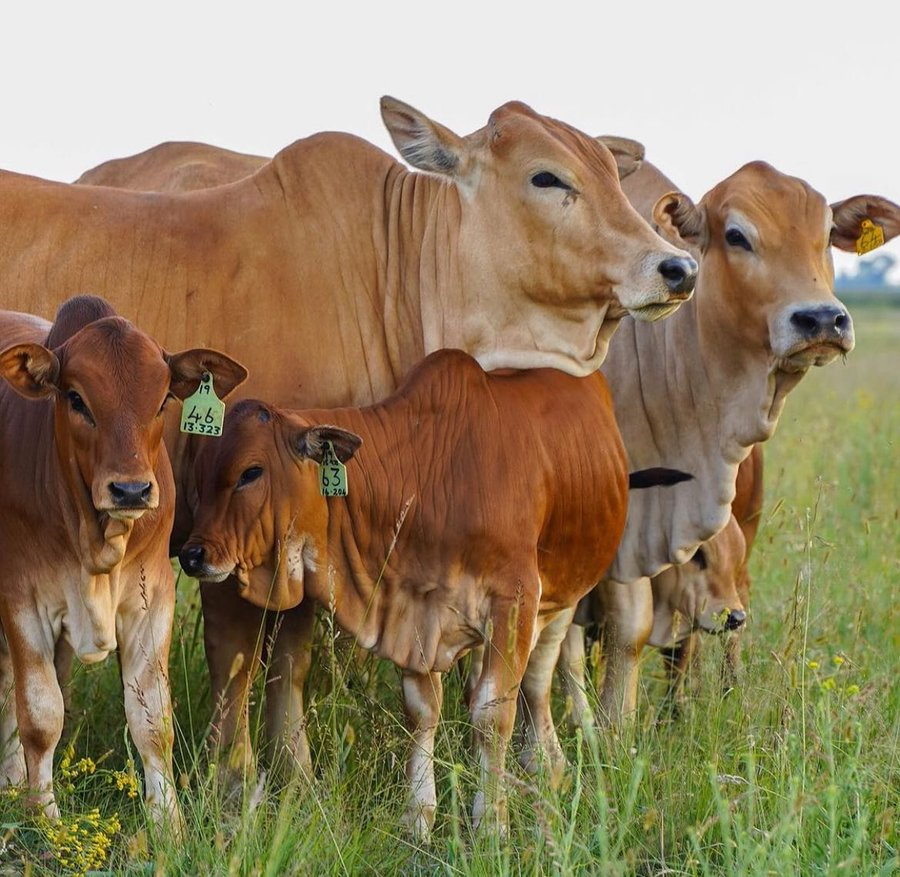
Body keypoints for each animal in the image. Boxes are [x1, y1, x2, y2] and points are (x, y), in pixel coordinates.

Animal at [0, 295, 246, 828]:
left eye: (163, 400)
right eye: (76, 399)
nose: (131, 490)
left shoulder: (152, 599)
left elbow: (152, 719)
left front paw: (168, 824)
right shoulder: (21, 598)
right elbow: (42, 714)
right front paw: (44, 816)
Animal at [176, 348, 688, 836]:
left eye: (251, 472)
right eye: (198, 475)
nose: (192, 554)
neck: (428, 476)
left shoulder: (515, 598)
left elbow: (492, 713)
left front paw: (492, 822)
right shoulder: (412, 613)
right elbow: (421, 711)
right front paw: (419, 816)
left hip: (564, 594)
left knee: (541, 676)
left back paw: (546, 764)